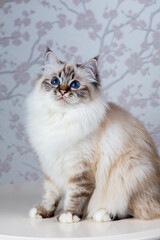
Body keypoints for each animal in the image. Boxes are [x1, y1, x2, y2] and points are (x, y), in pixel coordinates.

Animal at [26, 48, 160, 223]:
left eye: (75, 84)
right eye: (55, 81)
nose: (62, 91)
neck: (61, 117)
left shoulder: (80, 169)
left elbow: (76, 196)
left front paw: (69, 215)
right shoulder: (50, 168)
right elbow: (50, 196)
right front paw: (43, 212)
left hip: (132, 168)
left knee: (137, 210)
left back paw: (103, 214)